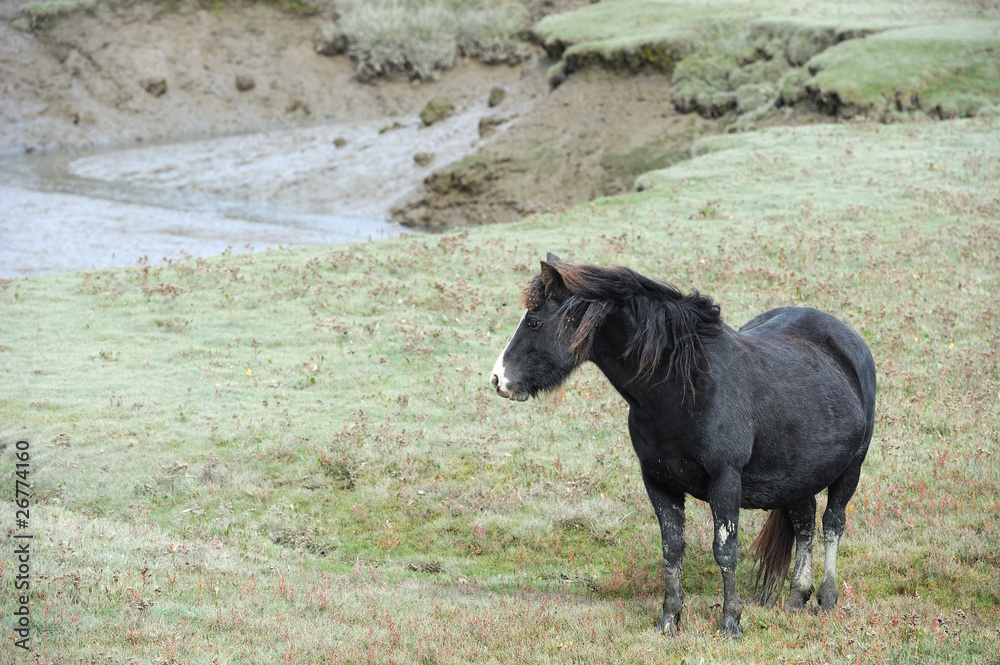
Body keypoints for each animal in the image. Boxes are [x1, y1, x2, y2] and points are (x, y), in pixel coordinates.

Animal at [489, 254, 876, 638]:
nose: (498, 379)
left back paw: (827, 599)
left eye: (534, 321)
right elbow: (672, 549)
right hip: (799, 477)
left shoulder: (725, 480)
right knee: (804, 524)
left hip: (850, 470)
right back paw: (797, 598)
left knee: (832, 524)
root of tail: (848, 339)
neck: (684, 386)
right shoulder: (659, 481)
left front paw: (731, 623)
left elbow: (725, 550)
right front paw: (669, 620)